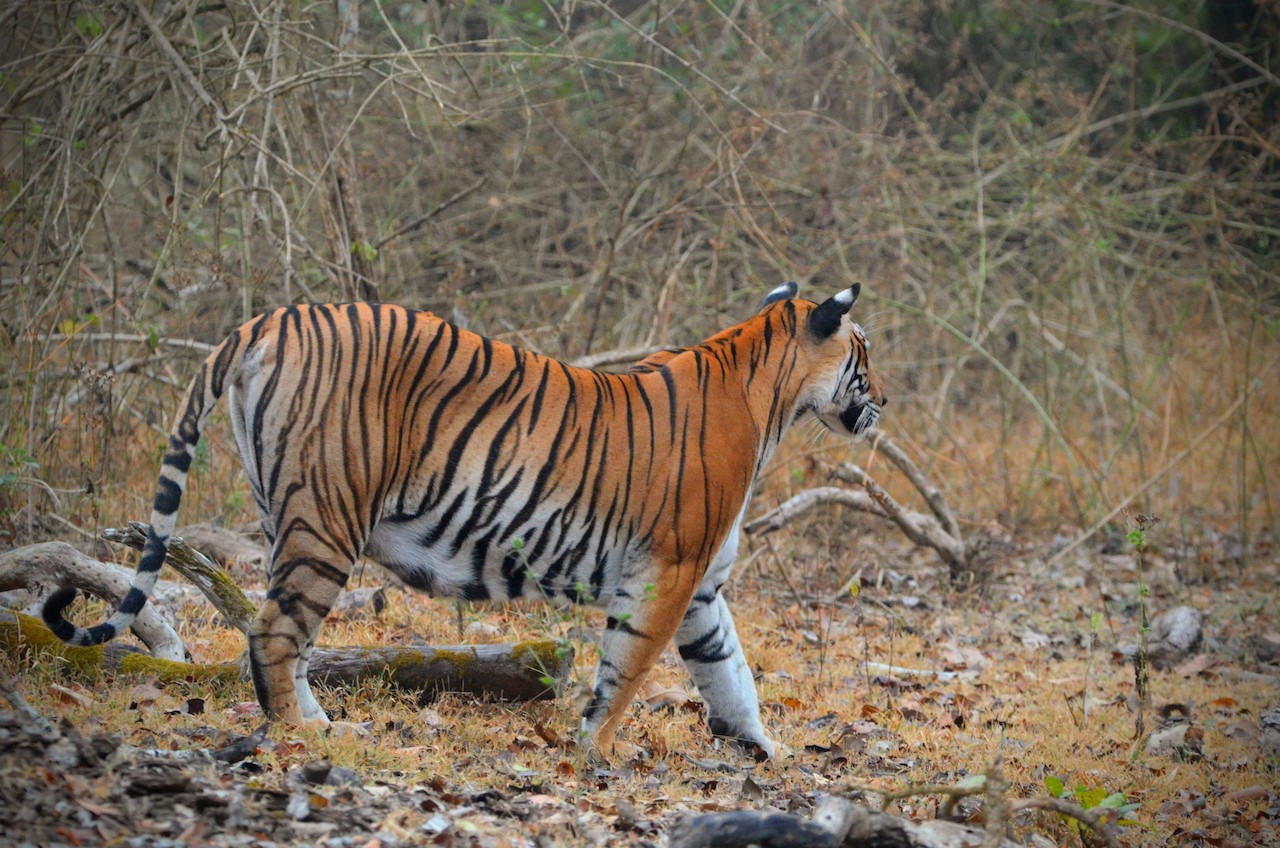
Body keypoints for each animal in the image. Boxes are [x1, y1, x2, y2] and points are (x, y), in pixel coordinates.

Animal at [40, 281, 880, 758]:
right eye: (864, 355)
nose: (882, 403)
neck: (771, 398)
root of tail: (271, 319)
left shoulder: (702, 587)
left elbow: (730, 671)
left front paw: (767, 750)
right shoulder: (669, 570)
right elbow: (630, 666)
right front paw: (594, 751)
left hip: (287, 517)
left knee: (280, 631)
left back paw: (323, 723)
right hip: (328, 517)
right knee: (274, 632)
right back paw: (305, 734)